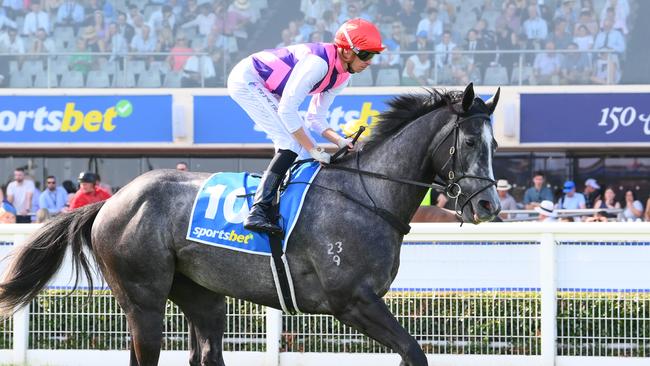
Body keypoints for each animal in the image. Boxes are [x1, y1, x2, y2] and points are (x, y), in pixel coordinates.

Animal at [0, 83, 502, 366]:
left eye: (495, 144)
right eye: (470, 141)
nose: (489, 205)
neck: (367, 195)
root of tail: (111, 202)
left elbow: (409, 354)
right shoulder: (352, 301)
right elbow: (414, 352)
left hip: (201, 295)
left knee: (205, 352)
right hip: (143, 297)